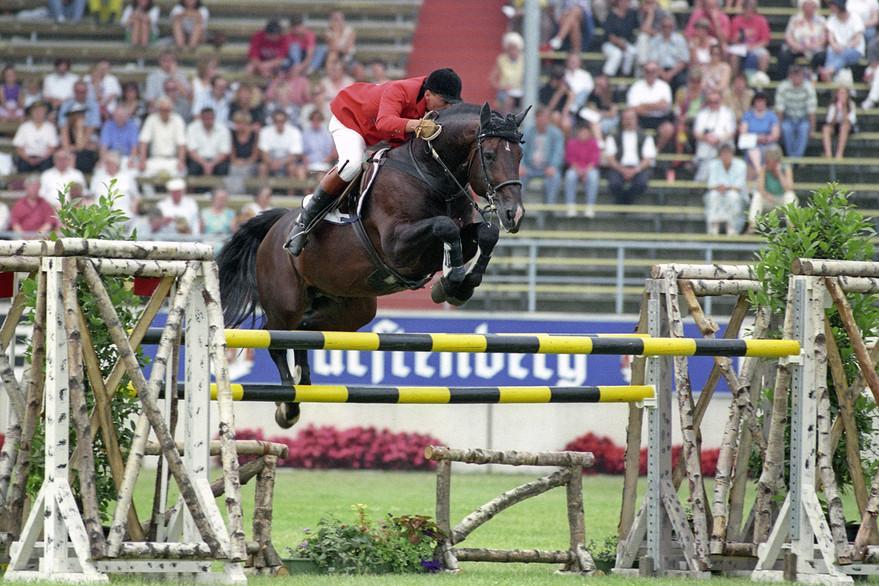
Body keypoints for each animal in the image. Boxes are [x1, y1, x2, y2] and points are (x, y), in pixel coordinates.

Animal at [217, 102, 528, 428]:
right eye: (490, 155)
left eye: (519, 155)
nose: (514, 214)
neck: (431, 175)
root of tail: (275, 226)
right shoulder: (397, 246)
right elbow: (445, 226)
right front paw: (451, 279)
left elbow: (485, 233)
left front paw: (459, 286)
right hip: (286, 302)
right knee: (276, 338)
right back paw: (288, 406)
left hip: (352, 309)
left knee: (306, 330)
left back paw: (303, 380)